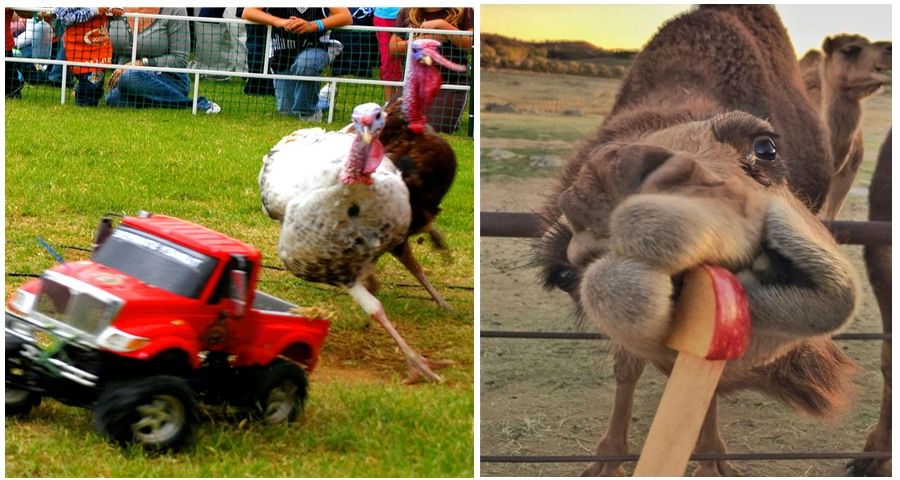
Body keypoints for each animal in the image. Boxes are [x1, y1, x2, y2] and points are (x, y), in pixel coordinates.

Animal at [536, 5, 860, 474]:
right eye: (563, 274)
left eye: (766, 148)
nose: (614, 174)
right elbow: (629, 366)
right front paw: (609, 458)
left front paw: (711, 460)